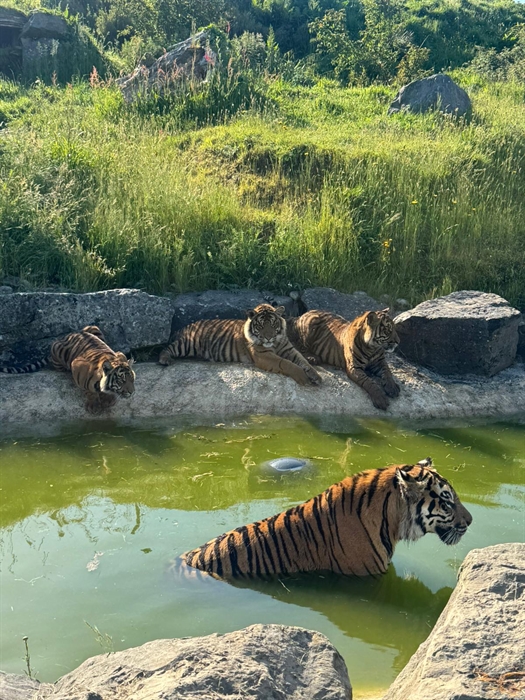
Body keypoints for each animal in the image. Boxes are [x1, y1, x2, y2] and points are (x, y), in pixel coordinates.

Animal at [1, 325, 135, 414]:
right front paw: (94, 405)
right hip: (58, 351)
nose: (132, 392)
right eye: (122, 380)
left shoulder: (120, 354)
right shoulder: (77, 366)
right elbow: (88, 390)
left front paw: (108, 399)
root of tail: (67, 335)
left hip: (93, 327)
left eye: (132, 380)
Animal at [159, 303, 321, 386]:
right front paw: (303, 377)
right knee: (167, 348)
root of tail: (185, 327)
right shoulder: (263, 355)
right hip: (186, 344)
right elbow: (286, 363)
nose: (268, 337)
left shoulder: (289, 349)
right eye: (261, 325)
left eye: (273, 324)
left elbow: (303, 361)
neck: (274, 343)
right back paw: (165, 360)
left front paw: (316, 376)